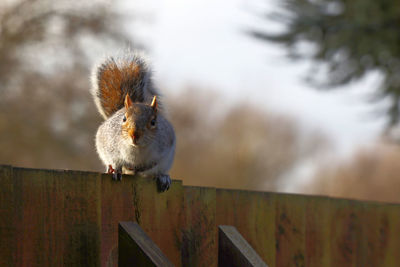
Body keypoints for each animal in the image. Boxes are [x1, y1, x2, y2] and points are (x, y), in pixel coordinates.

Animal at [92, 50, 177, 193]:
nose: (134, 134)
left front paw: (159, 174)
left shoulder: (166, 148)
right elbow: (115, 160)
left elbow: (156, 165)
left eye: (153, 122)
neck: (136, 150)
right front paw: (115, 170)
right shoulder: (110, 146)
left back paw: (163, 177)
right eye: (124, 119)